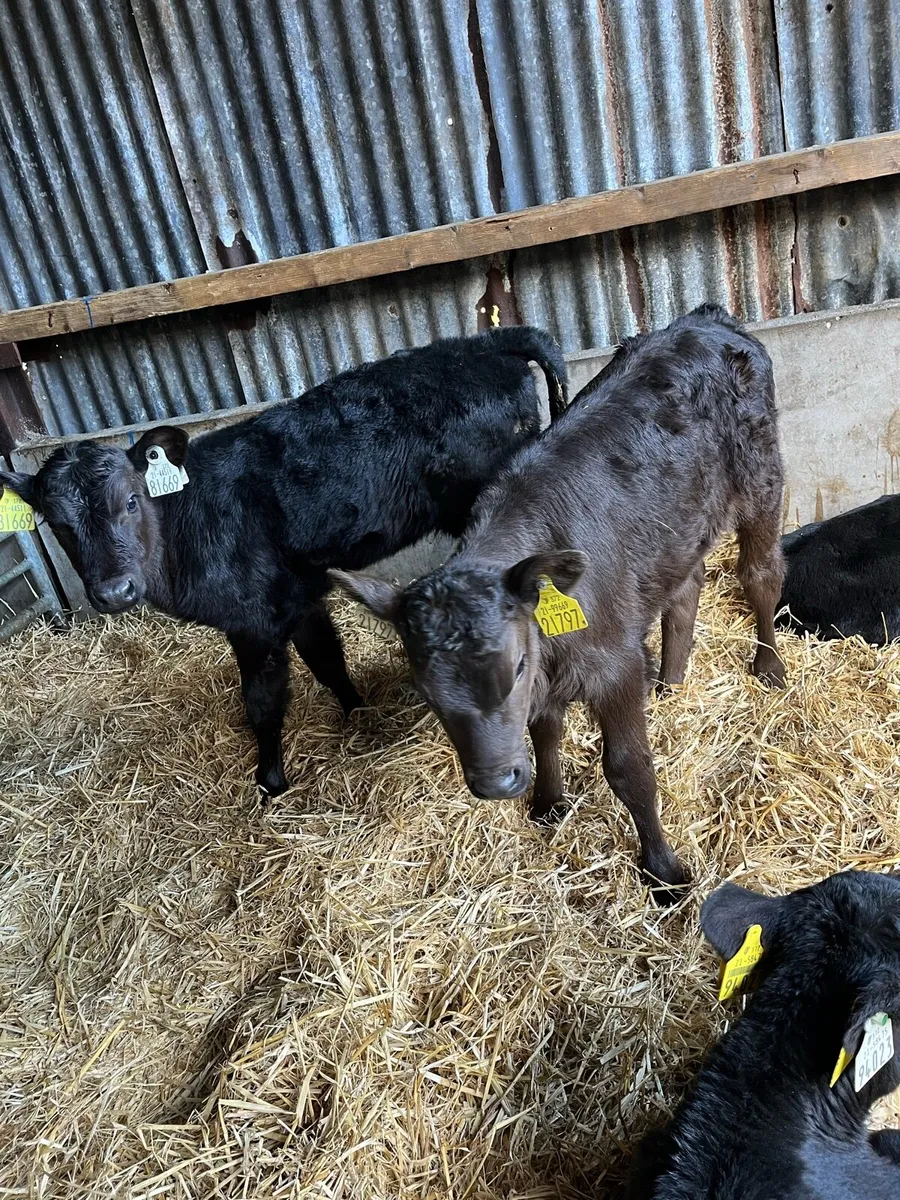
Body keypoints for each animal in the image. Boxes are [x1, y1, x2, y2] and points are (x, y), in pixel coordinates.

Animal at [0, 326, 567, 796]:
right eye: (56, 523)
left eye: (132, 501)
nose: (114, 591)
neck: (188, 520)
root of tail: (485, 341)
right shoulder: (299, 596)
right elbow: (327, 660)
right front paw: (359, 714)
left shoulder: (254, 622)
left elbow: (263, 702)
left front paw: (270, 780)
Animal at [332, 306, 786, 902]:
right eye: (426, 692)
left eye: (516, 666)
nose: (496, 782)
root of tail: (703, 319)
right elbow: (543, 732)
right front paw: (549, 804)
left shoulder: (614, 664)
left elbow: (628, 768)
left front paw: (663, 872)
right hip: (677, 528)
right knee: (687, 586)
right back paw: (670, 681)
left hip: (761, 475)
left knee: (760, 575)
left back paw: (769, 666)